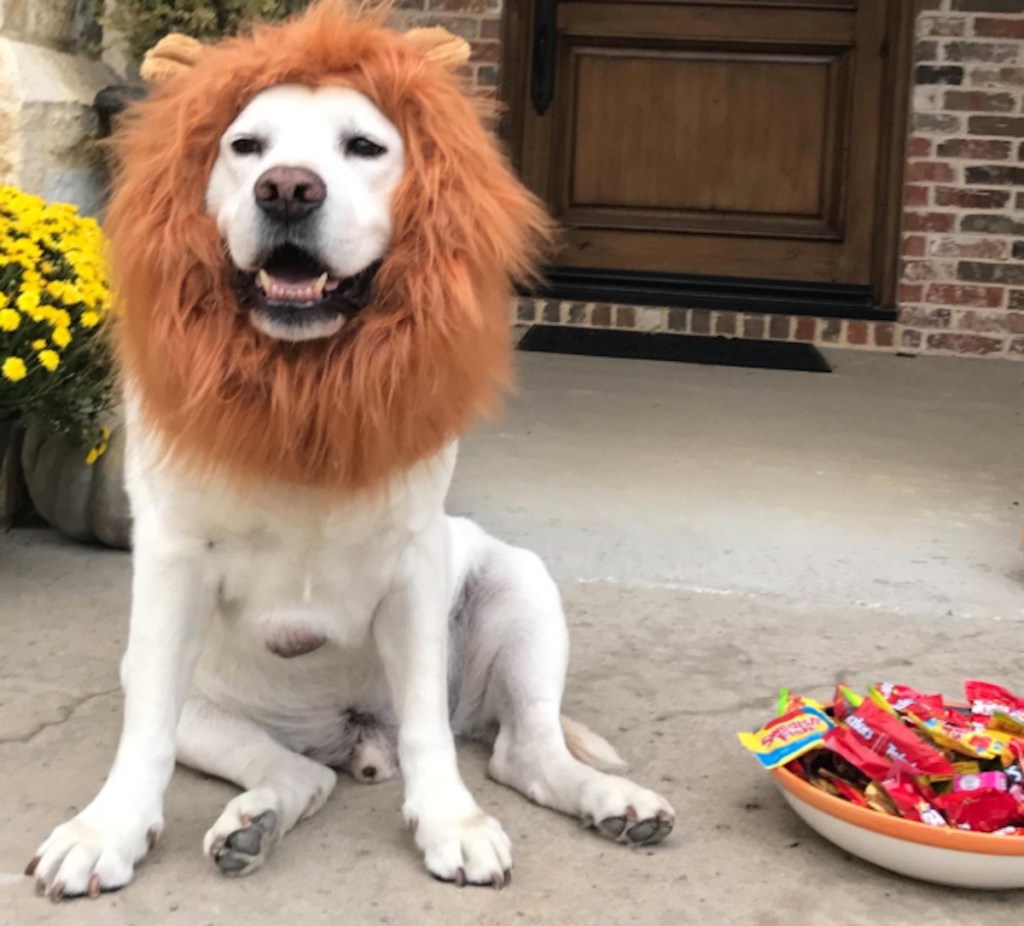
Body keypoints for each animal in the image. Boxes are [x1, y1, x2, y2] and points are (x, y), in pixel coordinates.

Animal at [25, 63, 671, 897]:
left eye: (364, 146)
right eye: (245, 146)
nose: (288, 189)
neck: (305, 381)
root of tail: (355, 733)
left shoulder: (415, 562)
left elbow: (428, 727)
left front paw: (451, 823)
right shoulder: (171, 560)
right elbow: (144, 740)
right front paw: (107, 831)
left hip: (520, 586)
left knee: (521, 749)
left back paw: (615, 803)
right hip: (195, 705)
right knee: (300, 775)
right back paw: (251, 825)